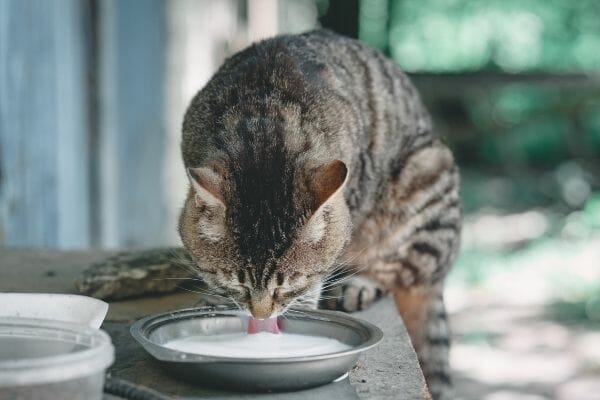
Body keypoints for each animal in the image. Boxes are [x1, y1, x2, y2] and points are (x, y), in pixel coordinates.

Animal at [178, 28, 460, 400]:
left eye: (291, 283)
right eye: (236, 281)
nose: (261, 317)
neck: (263, 119)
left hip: (426, 174)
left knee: (406, 268)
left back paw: (360, 283)